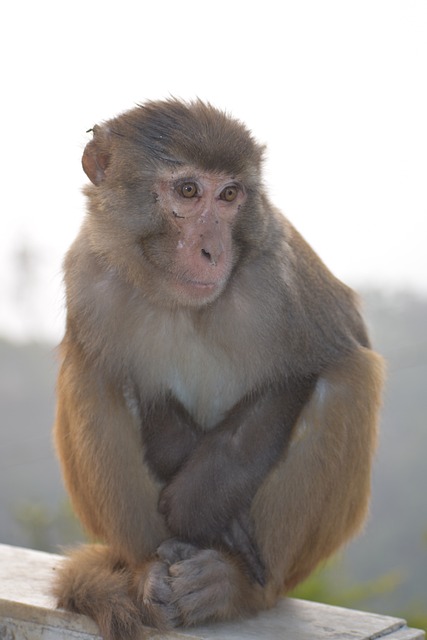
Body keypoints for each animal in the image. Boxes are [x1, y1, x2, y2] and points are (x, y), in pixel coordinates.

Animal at [52, 99, 384, 640]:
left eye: (230, 195)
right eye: (188, 191)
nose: (213, 251)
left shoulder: (276, 275)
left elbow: (319, 363)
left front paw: (199, 505)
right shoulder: (88, 276)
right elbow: (143, 391)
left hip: (291, 571)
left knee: (348, 381)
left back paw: (233, 588)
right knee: (92, 370)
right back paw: (145, 573)